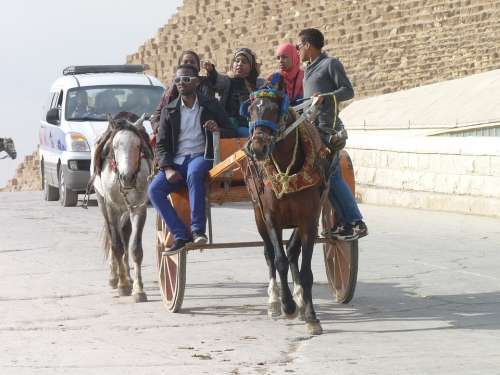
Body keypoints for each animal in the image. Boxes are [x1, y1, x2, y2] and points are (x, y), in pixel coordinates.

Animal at [90, 111, 151, 302]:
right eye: (115, 146)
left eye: (138, 145)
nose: (127, 177)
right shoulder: (112, 209)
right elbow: (116, 245)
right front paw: (122, 285)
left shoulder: (139, 208)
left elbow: (135, 249)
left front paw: (138, 290)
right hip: (103, 204)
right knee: (113, 237)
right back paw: (114, 277)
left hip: (126, 210)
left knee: (125, 235)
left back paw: (128, 277)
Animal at [243, 88, 328, 334]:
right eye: (250, 111)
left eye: (275, 111)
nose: (257, 148)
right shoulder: (271, 218)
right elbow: (279, 259)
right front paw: (287, 305)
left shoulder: (309, 219)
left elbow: (305, 269)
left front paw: (311, 316)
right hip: (258, 216)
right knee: (270, 254)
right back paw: (274, 301)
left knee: (291, 251)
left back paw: (299, 297)